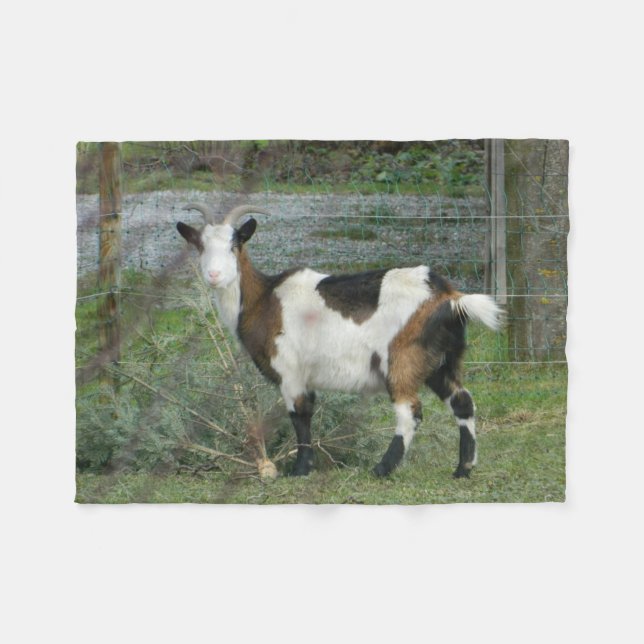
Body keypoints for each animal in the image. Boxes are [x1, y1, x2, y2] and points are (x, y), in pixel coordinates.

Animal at [176, 204, 503, 478]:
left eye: (234, 245)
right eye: (201, 246)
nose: (214, 275)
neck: (263, 300)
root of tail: (449, 297)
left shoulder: (290, 370)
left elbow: (299, 415)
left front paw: (300, 469)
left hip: (402, 359)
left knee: (410, 411)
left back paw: (381, 469)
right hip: (441, 361)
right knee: (462, 401)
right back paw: (462, 468)